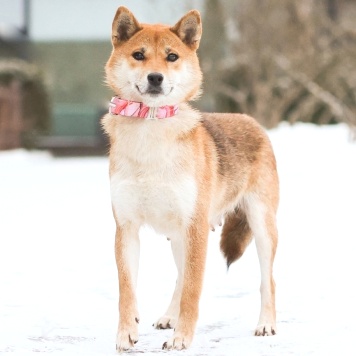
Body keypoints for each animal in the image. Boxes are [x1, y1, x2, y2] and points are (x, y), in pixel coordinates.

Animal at [101, 6, 280, 354]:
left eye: (171, 56)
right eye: (139, 55)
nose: (155, 78)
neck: (151, 127)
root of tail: (252, 121)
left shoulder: (194, 227)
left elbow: (193, 291)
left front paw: (182, 337)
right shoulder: (126, 228)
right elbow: (127, 290)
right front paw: (126, 333)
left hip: (260, 226)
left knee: (268, 281)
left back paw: (266, 324)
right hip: (177, 237)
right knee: (180, 278)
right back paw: (168, 316)